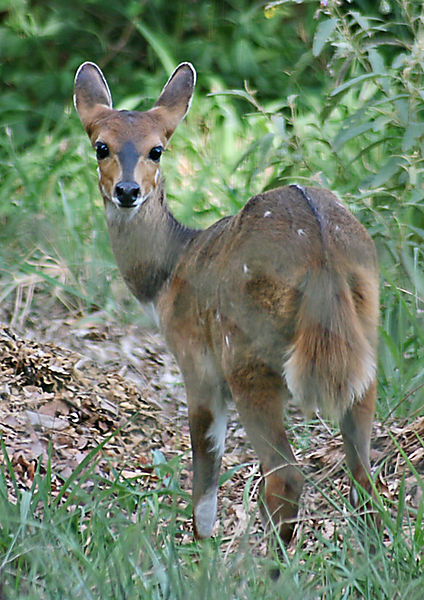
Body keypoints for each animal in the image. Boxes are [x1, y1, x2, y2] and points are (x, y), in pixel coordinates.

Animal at [74, 62, 380, 552]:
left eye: (156, 149)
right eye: (101, 145)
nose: (127, 190)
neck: (171, 271)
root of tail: (322, 253)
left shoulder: (196, 365)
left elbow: (205, 475)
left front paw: (201, 552)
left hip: (247, 360)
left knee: (286, 477)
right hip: (364, 352)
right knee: (363, 476)